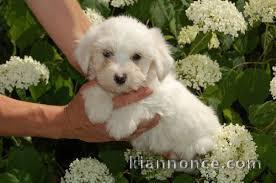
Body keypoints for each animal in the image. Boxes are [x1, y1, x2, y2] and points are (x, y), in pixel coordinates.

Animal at [74, 16, 221, 161]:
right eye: (107, 53)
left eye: (137, 56)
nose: (120, 78)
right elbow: (98, 88)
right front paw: (98, 108)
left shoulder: (158, 100)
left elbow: (141, 102)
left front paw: (119, 124)